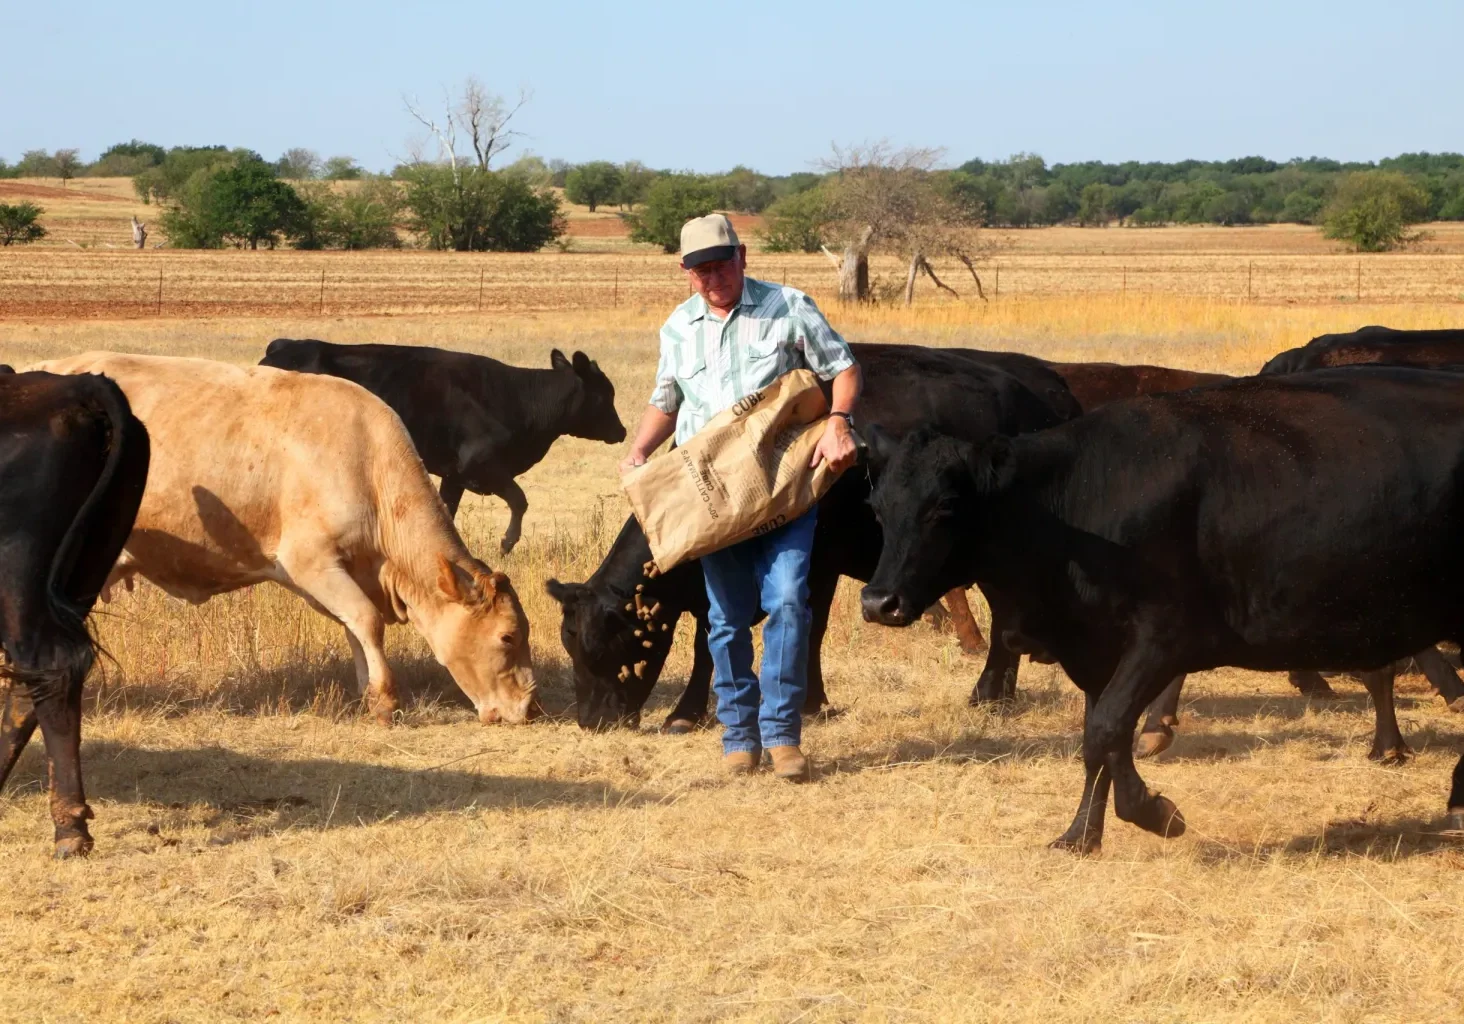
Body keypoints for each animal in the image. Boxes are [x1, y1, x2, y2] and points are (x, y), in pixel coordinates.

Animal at [0, 371, 149, 857]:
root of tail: (77, 386)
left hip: (18, 573)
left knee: (48, 665)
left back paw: (70, 830)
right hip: (88, 558)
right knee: (34, 684)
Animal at [32, 352, 536, 727]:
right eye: (508, 636)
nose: (529, 708)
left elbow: (355, 625)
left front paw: (367, 694)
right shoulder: (310, 561)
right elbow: (367, 620)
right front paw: (385, 699)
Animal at [260, 339, 627, 554]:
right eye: (605, 394)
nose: (622, 431)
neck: (518, 398)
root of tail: (281, 348)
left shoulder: (455, 475)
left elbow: (447, 512)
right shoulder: (480, 465)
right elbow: (519, 500)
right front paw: (506, 543)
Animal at [547, 342, 1083, 731]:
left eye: (604, 648)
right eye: (571, 648)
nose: (590, 721)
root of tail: (1052, 392)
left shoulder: (818, 565)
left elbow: (805, 631)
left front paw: (804, 702)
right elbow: (712, 639)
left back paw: (989, 692)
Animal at [860, 366, 1464, 852]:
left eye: (944, 507)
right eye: (878, 506)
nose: (878, 601)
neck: (1080, 503)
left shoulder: (1163, 639)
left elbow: (1107, 730)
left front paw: (1154, 812)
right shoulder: (1097, 651)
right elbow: (1097, 739)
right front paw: (1081, 834)